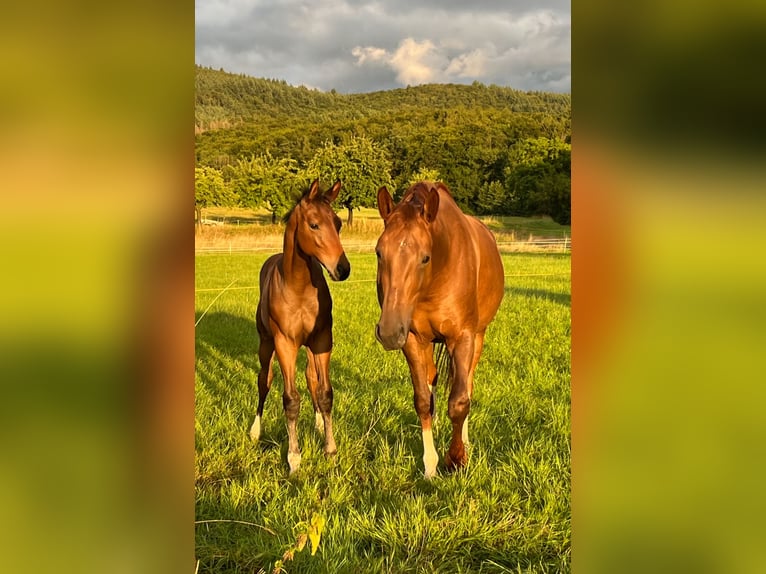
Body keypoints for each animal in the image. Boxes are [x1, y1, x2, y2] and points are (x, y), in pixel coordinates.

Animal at [250, 179, 351, 474]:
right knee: (264, 379)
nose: (343, 269)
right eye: (314, 224)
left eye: (338, 223)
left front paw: (330, 449)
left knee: (311, 378)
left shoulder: (322, 340)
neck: (299, 287)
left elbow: (325, 392)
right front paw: (294, 457)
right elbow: (290, 399)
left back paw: (316, 422)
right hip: (266, 344)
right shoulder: (285, 343)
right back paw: (255, 430)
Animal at [374, 181, 504, 478]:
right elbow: (424, 401)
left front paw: (456, 459)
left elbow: (459, 402)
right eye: (379, 252)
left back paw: (465, 441)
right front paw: (430, 466)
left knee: (468, 384)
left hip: (478, 338)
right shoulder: (412, 340)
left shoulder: (462, 337)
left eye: (425, 257)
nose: (388, 332)